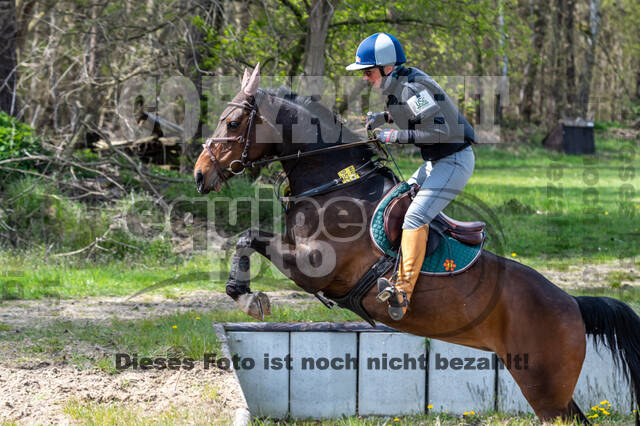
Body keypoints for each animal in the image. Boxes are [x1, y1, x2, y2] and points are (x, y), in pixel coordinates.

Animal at [192, 64, 636, 422]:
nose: (199, 175)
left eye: (233, 123)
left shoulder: (315, 266)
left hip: (544, 388)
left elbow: (250, 237)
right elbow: (246, 238)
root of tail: (573, 304)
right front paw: (245, 295)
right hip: (548, 388)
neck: (337, 185)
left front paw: (250, 298)